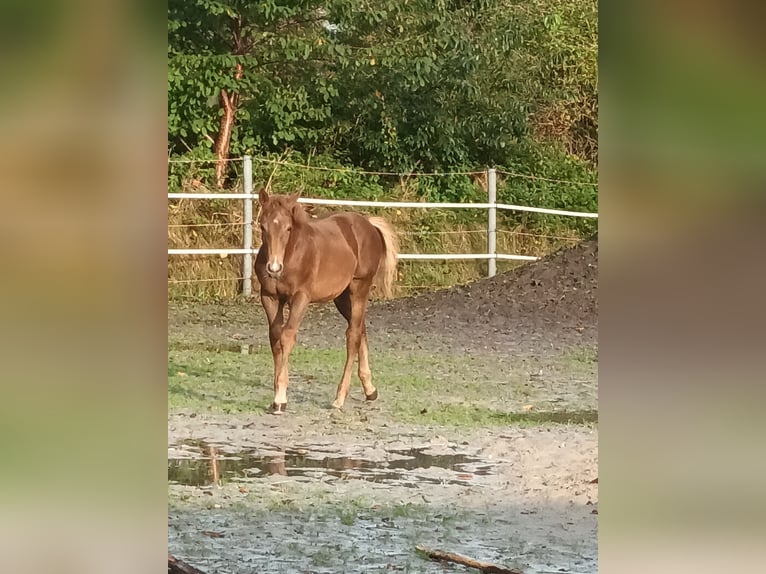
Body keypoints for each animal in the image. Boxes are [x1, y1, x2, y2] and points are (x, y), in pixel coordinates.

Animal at [256, 191, 402, 416]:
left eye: (288, 228)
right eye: (262, 226)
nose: (274, 268)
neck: (292, 253)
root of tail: (368, 223)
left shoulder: (301, 297)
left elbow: (287, 336)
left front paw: (280, 398)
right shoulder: (270, 297)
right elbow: (275, 337)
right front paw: (276, 395)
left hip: (359, 288)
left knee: (352, 335)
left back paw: (339, 398)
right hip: (341, 297)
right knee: (360, 328)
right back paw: (370, 389)